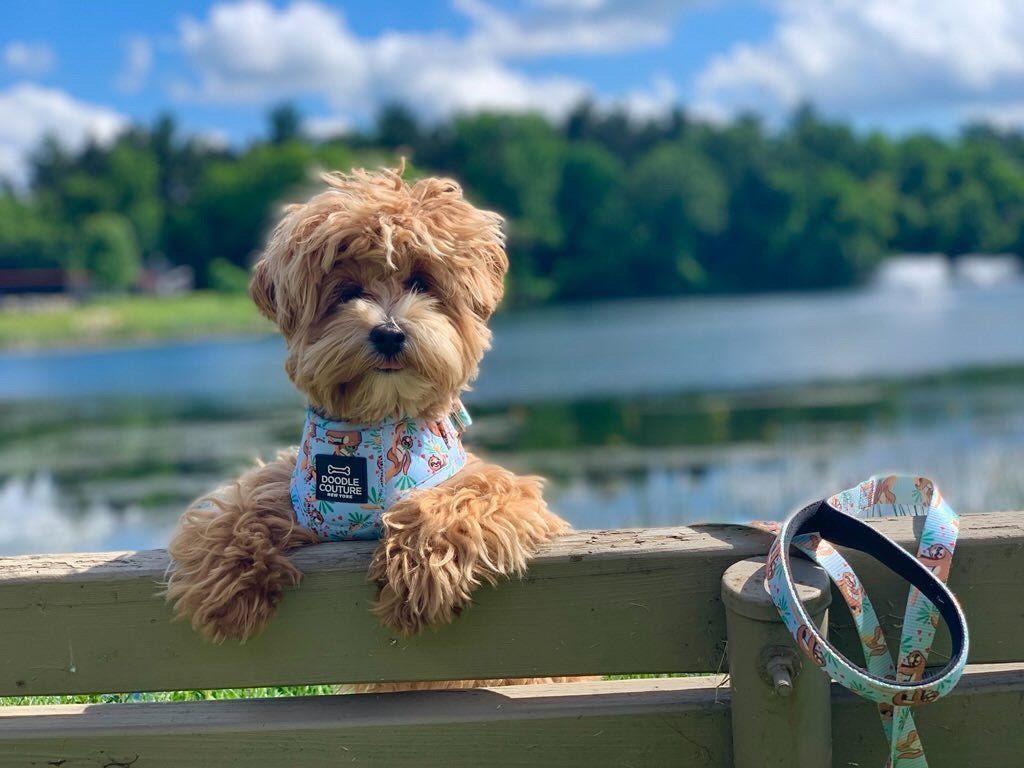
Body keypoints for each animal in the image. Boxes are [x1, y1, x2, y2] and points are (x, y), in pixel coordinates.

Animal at [163, 165, 573, 675]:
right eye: (347, 293)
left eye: (422, 283)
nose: (390, 332)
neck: (376, 426)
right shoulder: (294, 488)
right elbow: (236, 507)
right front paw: (223, 584)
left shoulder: (498, 489)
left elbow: (462, 499)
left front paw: (419, 573)